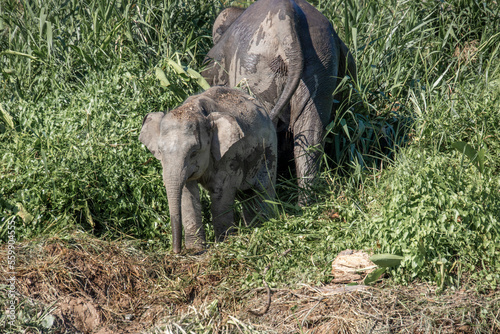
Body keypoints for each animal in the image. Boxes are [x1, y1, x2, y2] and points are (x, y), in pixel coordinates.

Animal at [141, 87, 278, 253]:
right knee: (247, 196)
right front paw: (196, 249)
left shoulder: (230, 153)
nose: (176, 250)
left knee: (264, 191)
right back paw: (253, 230)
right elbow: (187, 193)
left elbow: (222, 194)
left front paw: (224, 244)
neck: (195, 110)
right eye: (160, 151)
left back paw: (264, 227)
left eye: (194, 152)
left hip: (269, 151)